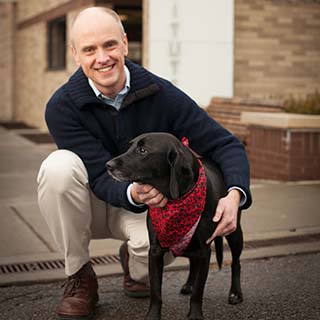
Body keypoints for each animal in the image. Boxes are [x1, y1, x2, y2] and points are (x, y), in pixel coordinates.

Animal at [106, 132, 244, 320]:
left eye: (143, 150)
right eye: (130, 146)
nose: (108, 165)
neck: (174, 199)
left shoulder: (205, 251)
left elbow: (198, 292)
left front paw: (195, 315)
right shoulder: (155, 251)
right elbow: (156, 291)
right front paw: (153, 315)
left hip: (234, 233)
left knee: (236, 263)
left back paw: (235, 293)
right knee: (193, 262)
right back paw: (189, 284)